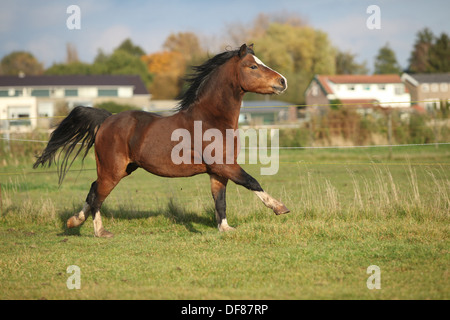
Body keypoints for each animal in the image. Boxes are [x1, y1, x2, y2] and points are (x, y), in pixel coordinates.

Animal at [33, 43, 290, 236]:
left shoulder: (218, 171)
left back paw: (73, 221)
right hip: (112, 169)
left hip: (124, 168)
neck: (210, 119)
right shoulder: (224, 165)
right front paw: (280, 208)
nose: (283, 81)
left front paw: (225, 229)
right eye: (253, 65)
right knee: (98, 195)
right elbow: (251, 181)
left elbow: (220, 200)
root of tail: (107, 120)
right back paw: (99, 231)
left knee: (93, 189)